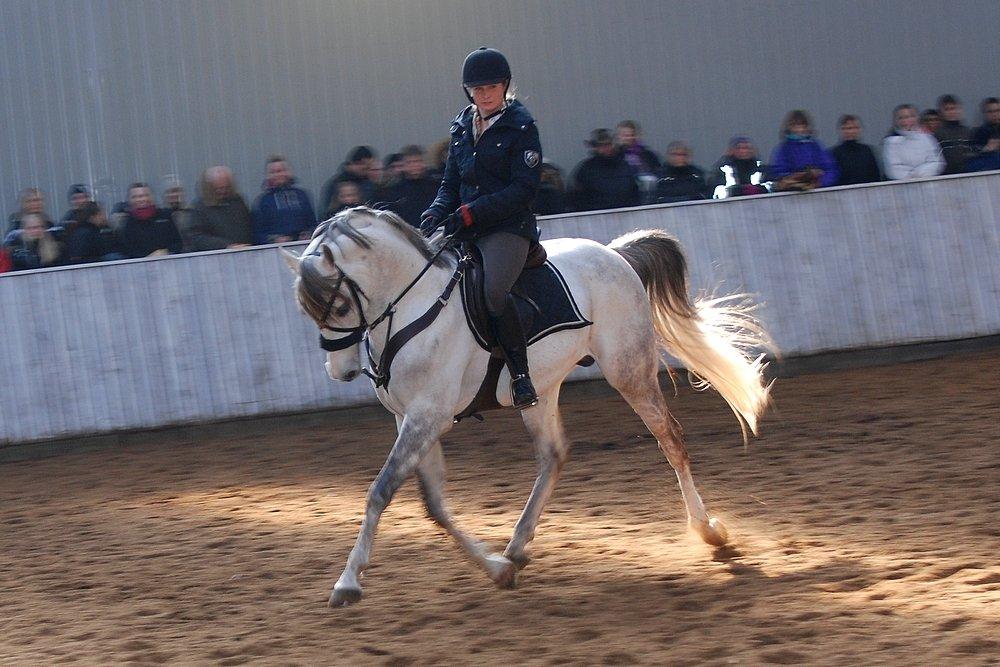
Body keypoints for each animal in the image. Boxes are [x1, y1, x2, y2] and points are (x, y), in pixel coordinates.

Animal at [284, 207, 772, 604]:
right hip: (542, 385)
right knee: (553, 454)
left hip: (628, 370)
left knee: (670, 438)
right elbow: (435, 505)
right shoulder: (414, 419)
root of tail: (614, 254)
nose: (340, 371)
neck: (412, 307)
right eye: (309, 311)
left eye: (339, 305)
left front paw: (348, 583)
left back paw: (709, 531)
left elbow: (381, 491)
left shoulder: (427, 417)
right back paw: (516, 548)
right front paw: (497, 570)